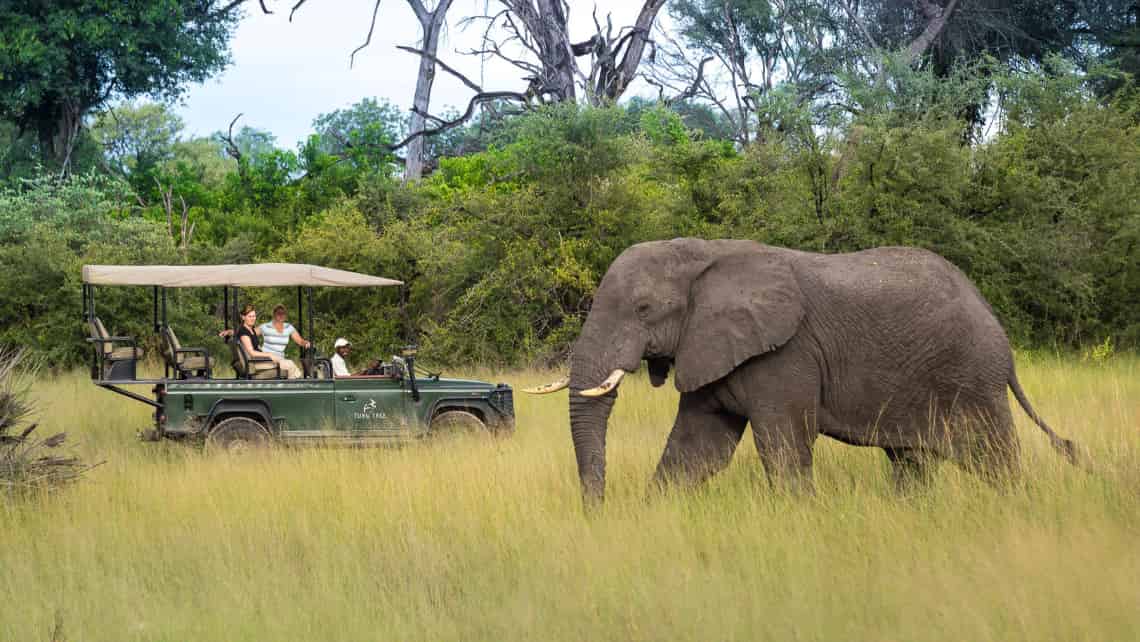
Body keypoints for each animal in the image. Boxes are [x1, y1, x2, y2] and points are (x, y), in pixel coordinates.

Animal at [524, 238, 1076, 510]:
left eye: (643, 309)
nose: (597, 512)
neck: (703, 254)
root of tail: (999, 332)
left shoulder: (785, 354)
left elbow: (783, 446)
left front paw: (799, 520)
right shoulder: (714, 346)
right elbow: (697, 448)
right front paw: (651, 518)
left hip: (969, 377)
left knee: (993, 456)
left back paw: (1016, 508)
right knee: (911, 460)